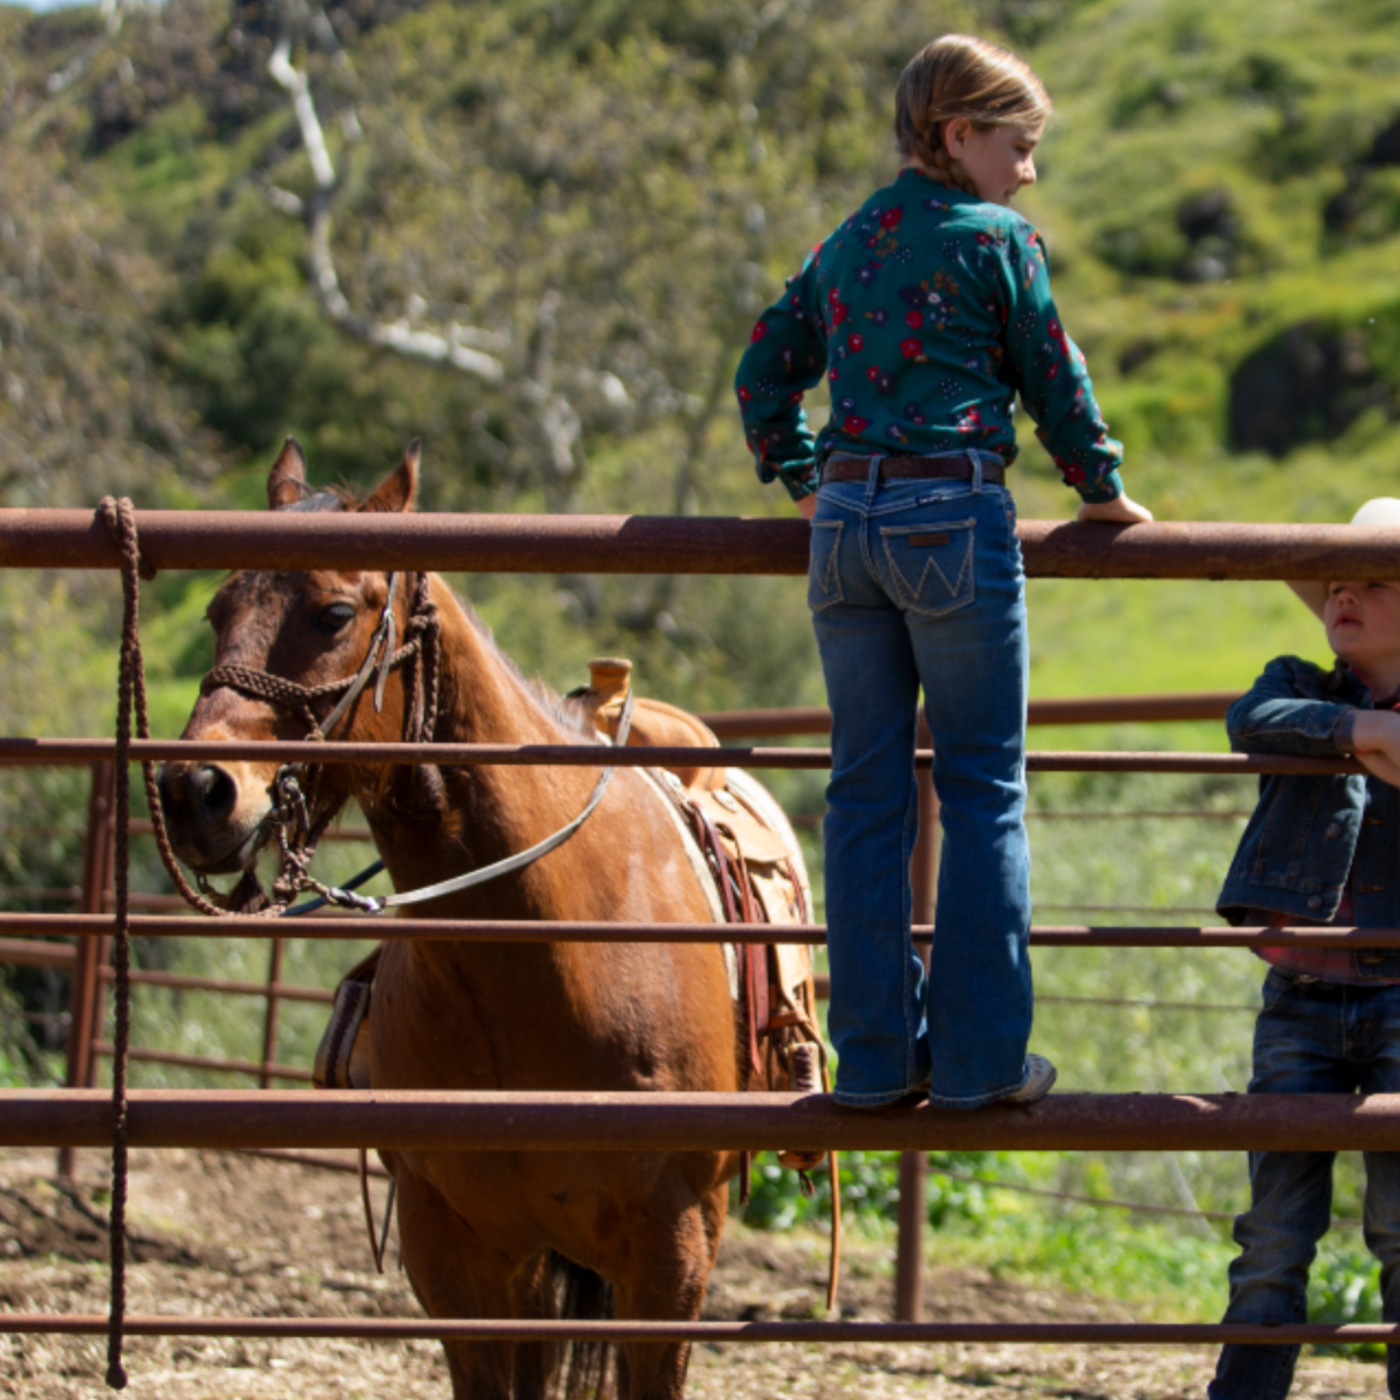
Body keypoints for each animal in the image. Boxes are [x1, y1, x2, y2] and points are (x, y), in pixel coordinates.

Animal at [161, 439, 767, 1400]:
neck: (545, 960)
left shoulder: (673, 1262)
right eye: (220, 608)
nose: (194, 791)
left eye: (335, 612)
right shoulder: (454, 1255)